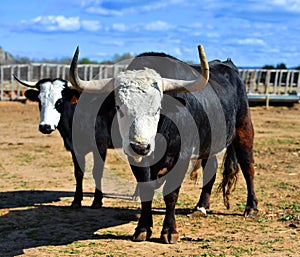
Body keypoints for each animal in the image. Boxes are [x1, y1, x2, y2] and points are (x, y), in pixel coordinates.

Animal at [13, 75, 117, 207]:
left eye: (59, 101)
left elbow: (97, 172)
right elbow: (78, 173)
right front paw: (76, 201)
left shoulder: (100, 146)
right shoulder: (75, 148)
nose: (45, 126)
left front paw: (97, 201)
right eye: (39, 101)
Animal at [68, 45, 258, 243]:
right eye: (119, 107)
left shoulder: (182, 157)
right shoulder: (136, 159)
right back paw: (201, 207)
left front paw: (169, 231)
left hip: (244, 130)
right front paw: (142, 228)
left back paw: (251, 208)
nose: (141, 147)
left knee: (248, 167)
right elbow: (146, 189)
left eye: (157, 109)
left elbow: (171, 193)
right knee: (211, 169)